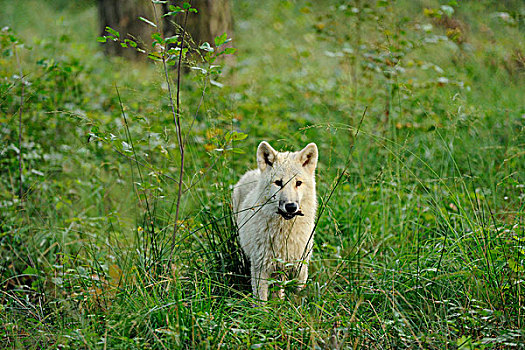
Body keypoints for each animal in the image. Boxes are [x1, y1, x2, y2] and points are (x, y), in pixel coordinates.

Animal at [233, 141, 320, 300]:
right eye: (278, 183)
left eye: (298, 183)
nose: (291, 206)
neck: (284, 233)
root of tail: (253, 171)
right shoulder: (260, 266)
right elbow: (261, 300)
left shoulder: (300, 260)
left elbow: (300, 286)